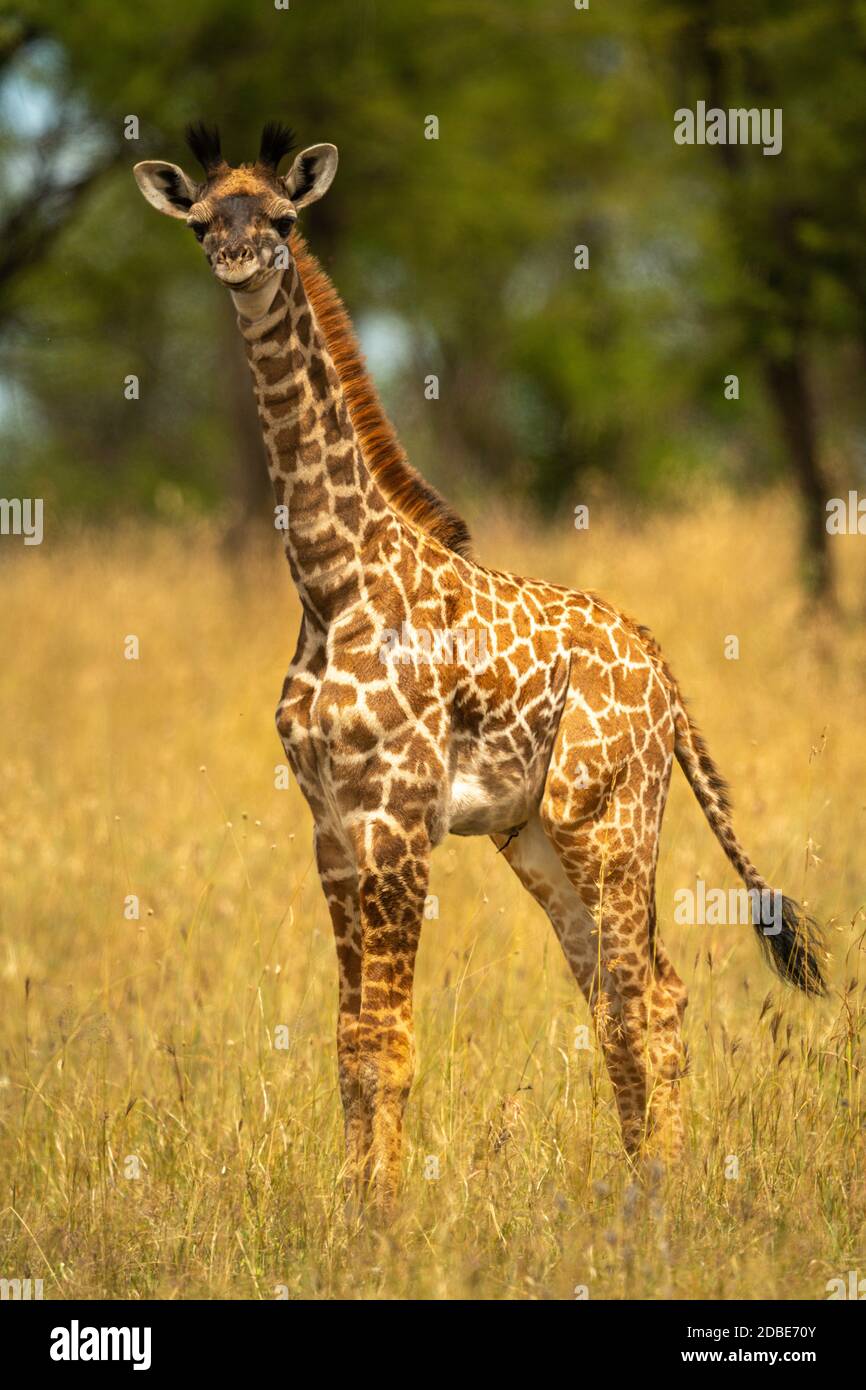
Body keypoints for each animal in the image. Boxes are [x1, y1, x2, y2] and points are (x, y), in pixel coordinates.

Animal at [134, 123, 826, 1207]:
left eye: (281, 218)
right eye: (204, 220)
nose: (237, 261)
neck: (330, 581)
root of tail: (667, 678)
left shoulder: (398, 817)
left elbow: (388, 1042)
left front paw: (380, 1217)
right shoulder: (331, 824)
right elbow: (348, 1041)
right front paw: (351, 1208)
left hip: (609, 819)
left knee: (643, 994)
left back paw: (659, 1199)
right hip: (532, 835)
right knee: (634, 994)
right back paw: (645, 1188)